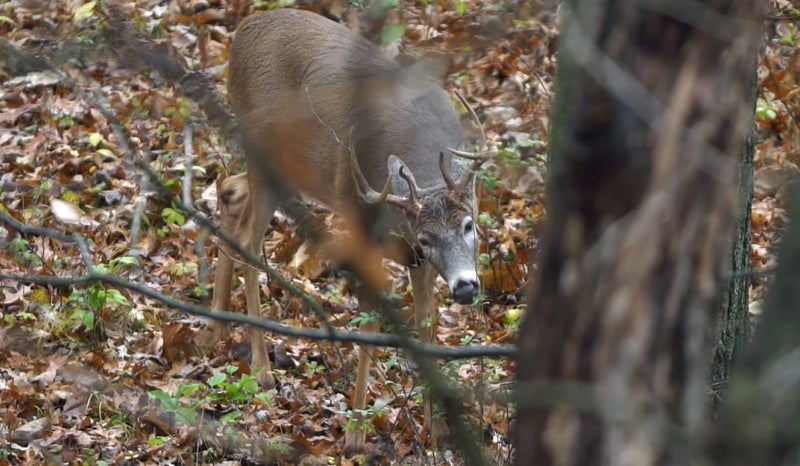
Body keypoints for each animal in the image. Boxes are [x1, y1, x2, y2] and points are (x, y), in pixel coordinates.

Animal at [211, 6, 482, 452]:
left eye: (468, 224)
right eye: (426, 236)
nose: (465, 286)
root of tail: (243, 31)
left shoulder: (417, 260)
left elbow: (425, 321)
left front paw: (439, 428)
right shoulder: (366, 228)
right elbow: (372, 324)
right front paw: (355, 434)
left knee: (229, 190)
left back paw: (214, 322)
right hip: (263, 152)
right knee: (250, 238)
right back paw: (263, 368)